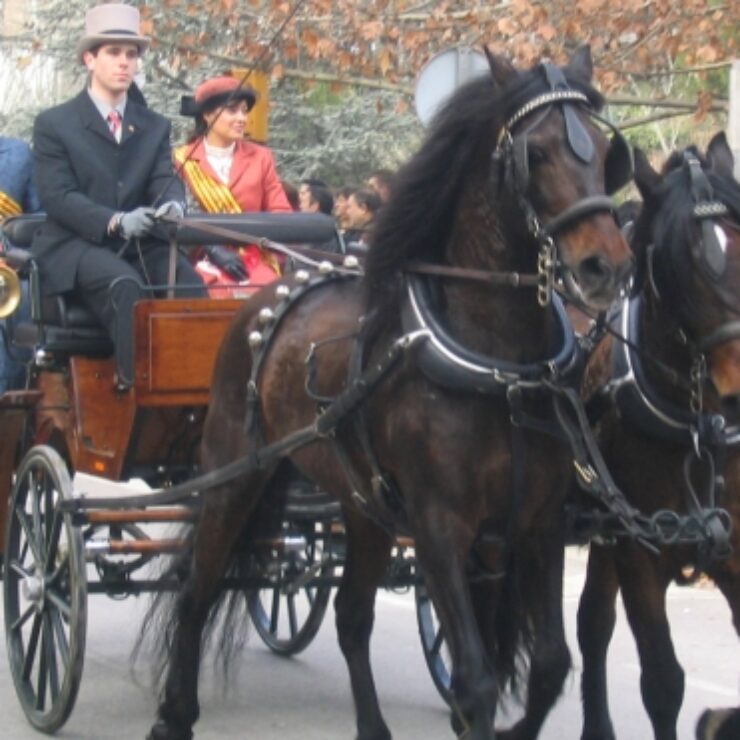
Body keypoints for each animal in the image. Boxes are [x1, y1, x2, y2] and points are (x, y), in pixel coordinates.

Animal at [147, 47, 632, 740]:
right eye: (535, 153)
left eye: (601, 149)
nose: (605, 266)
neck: (500, 366)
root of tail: (269, 297)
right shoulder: (438, 525)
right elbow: (478, 679)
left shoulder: (537, 522)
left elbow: (548, 665)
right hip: (234, 476)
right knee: (197, 589)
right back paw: (174, 713)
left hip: (362, 504)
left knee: (351, 616)